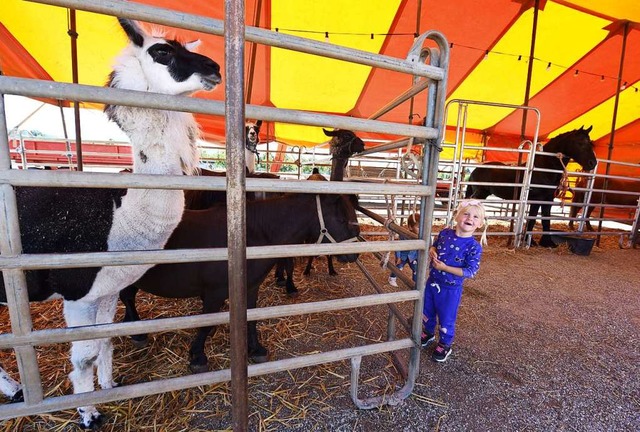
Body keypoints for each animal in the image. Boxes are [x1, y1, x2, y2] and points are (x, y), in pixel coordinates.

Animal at [120, 192, 360, 372]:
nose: (355, 254)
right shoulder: (215, 292)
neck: (250, 235)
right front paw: (197, 357)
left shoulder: (251, 287)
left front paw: (256, 349)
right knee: (127, 297)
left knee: (126, 297)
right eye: (341, 219)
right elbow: (206, 323)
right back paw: (137, 332)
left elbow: (251, 318)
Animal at [462, 125, 596, 246]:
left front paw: (547, 243)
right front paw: (529, 242)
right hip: (479, 193)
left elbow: (546, 219)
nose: (593, 163)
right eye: (580, 143)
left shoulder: (548, 199)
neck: (544, 168)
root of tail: (475, 170)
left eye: (591, 143)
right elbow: (532, 219)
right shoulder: (537, 199)